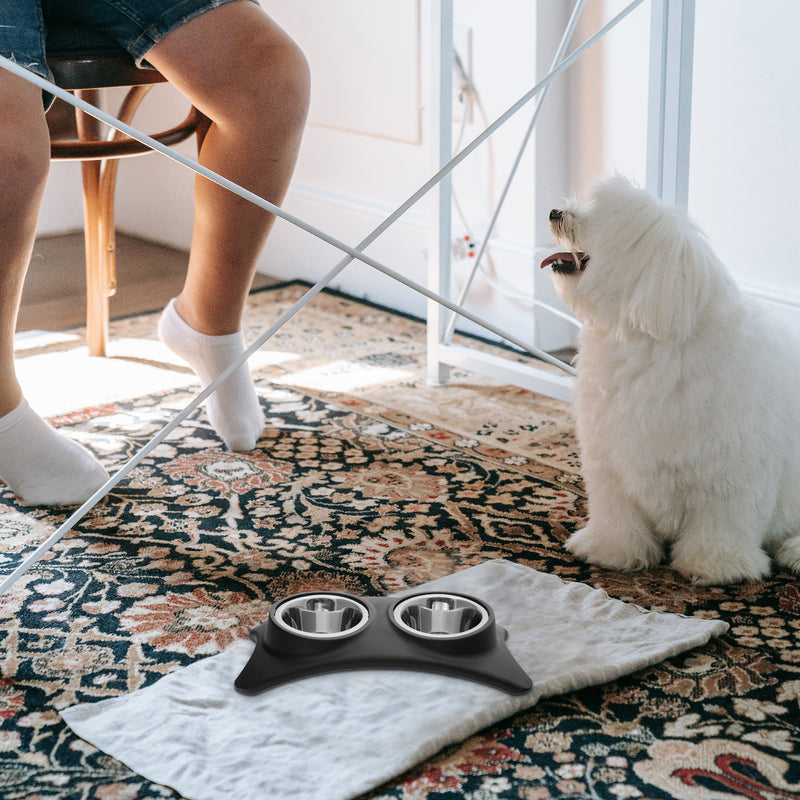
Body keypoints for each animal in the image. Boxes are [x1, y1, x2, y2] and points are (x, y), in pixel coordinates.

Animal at [544, 178, 800, 584]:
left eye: (604, 217)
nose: (555, 212)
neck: (647, 345)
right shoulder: (610, 462)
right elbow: (618, 516)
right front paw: (610, 551)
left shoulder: (728, 474)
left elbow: (722, 524)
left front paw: (716, 566)